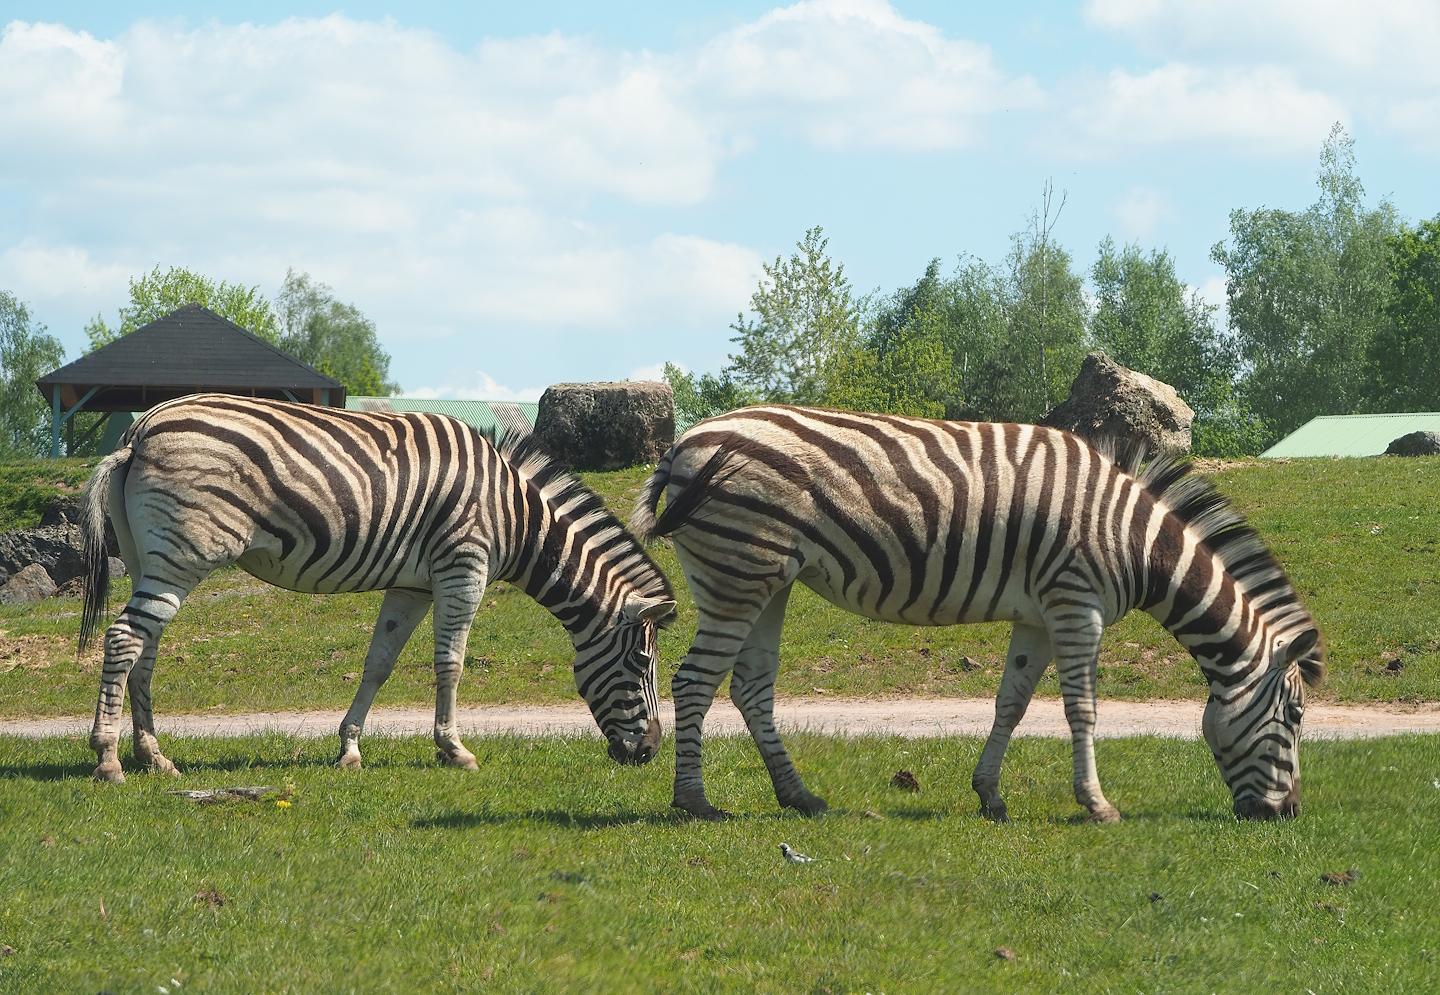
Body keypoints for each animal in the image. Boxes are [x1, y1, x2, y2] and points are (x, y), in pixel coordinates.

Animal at [76, 394, 675, 783]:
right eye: (641, 663)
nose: (650, 751)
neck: (514, 516)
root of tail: (140, 430)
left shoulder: (413, 586)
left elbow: (378, 663)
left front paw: (349, 748)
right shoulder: (463, 568)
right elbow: (451, 663)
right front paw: (454, 749)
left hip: (151, 556)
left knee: (146, 648)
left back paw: (153, 756)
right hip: (184, 553)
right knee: (124, 639)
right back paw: (108, 759)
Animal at [630, 405, 1325, 823]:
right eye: (1294, 717)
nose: (1287, 812)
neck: (1136, 540)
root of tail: (682, 440)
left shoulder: (1039, 616)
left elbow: (1011, 703)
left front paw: (990, 795)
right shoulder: (1077, 604)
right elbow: (1082, 709)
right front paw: (1097, 805)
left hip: (769, 580)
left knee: (750, 685)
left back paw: (798, 796)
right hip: (737, 576)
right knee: (695, 682)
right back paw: (694, 801)